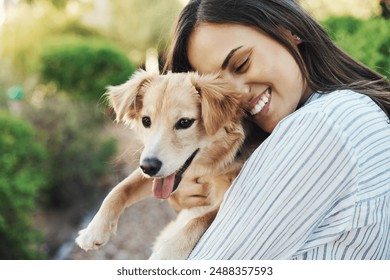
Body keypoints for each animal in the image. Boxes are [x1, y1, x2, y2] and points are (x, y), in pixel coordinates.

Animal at [75, 69, 266, 258]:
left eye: (184, 122)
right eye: (146, 120)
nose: (148, 167)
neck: (210, 166)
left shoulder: (225, 196)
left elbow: (201, 219)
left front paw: (168, 252)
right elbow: (119, 189)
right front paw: (94, 230)